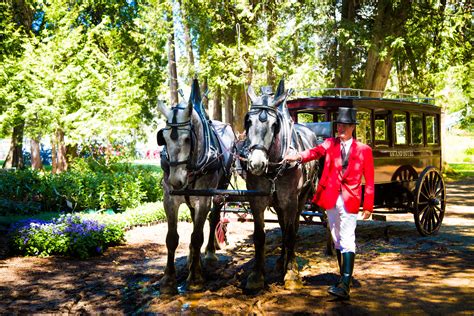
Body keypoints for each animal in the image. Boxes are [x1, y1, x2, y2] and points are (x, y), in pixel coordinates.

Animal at [156, 79, 236, 294]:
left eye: (187, 139)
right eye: (164, 138)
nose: (176, 181)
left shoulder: (203, 199)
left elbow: (197, 236)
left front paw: (195, 277)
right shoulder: (170, 199)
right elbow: (172, 238)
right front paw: (168, 278)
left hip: (220, 189)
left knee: (213, 218)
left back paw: (208, 253)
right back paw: (194, 257)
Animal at [241, 79, 318, 292]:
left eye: (275, 124)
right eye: (248, 122)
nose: (256, 163)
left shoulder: (290, 201)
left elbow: (291, 234)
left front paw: (291, 273)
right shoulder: (257, 200)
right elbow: (259, 236)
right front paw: (257, 275)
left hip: (301, 198)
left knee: (293, 227)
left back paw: (289, 261)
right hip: (277, 203)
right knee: (283, 226)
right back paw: (281, 260)